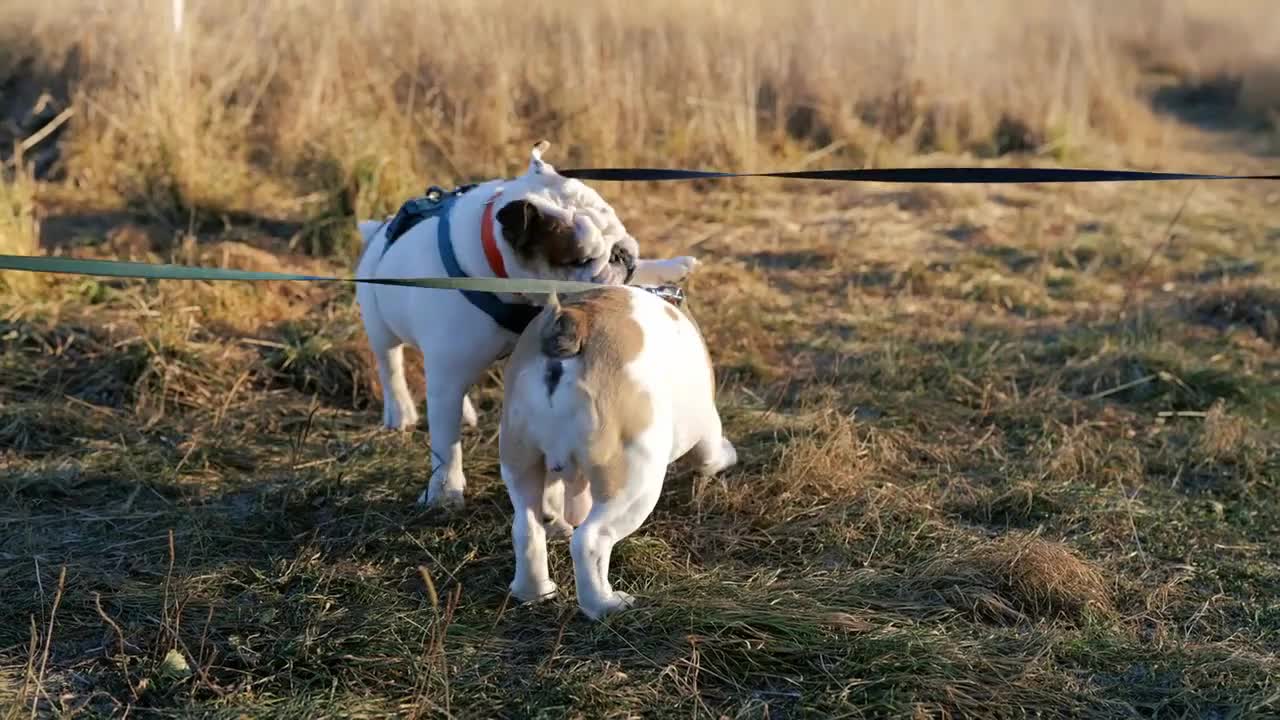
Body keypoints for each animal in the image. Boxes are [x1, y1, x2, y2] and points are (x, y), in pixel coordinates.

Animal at [499, 284, 742, 617]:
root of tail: (570, 324)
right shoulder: (706, 427)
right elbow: (711, 455)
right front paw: (728, 455)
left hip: (521, 460)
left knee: (526, 527)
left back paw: (534, 591)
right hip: (633, 480)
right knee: (590, 540)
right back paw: (606, 605)